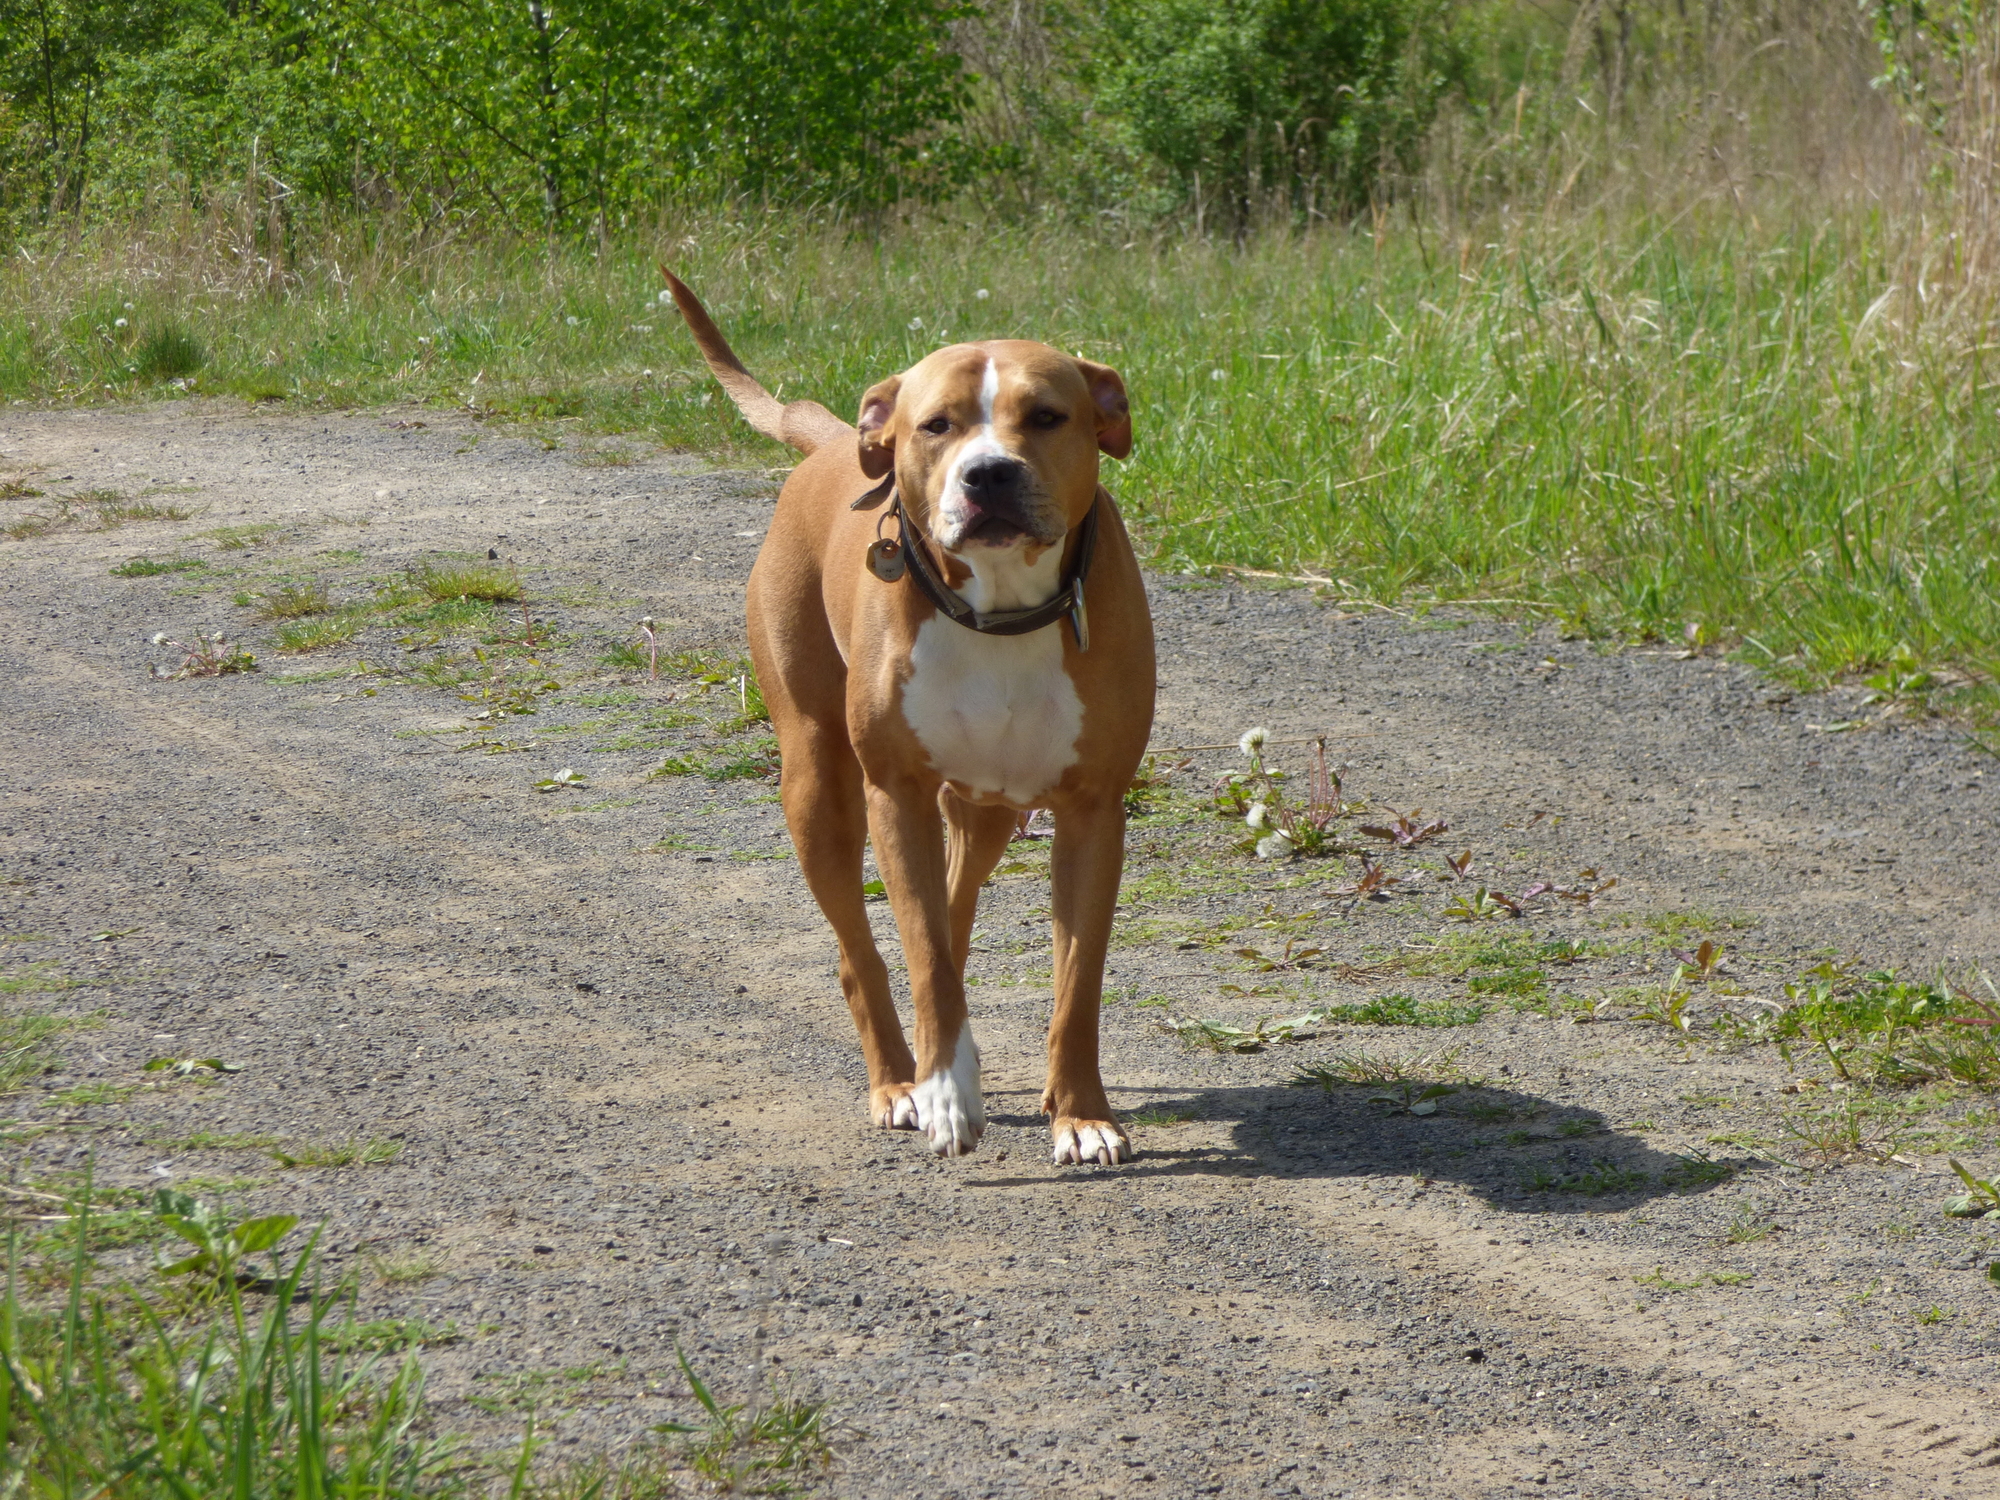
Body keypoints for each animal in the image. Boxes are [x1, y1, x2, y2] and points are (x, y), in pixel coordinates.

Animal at [664, 274, 1152, 1160]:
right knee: (867, 952)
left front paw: (1080, 1114)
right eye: (938, 425)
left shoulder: (1092, 812)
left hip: (986, 807)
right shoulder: (894, 793)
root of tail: (834, 439)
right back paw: (900, 1081)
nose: (988, 474)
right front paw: (945, 1095)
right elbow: (923, 956)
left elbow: (1075, 983)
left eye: (1047, 416)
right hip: (819, 787)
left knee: (954, 911)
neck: (998, 611)